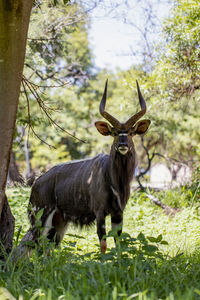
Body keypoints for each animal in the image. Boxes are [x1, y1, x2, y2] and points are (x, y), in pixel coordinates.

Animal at [27, 80, 150, 253]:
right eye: (114, 133)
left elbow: (118, 242)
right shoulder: (99, 211)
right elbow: (103, 243)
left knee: (48, 248)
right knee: (37, 246)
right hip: (41, 217)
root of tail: (35, 184)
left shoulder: (118, 213)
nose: (123, 145)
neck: (113, 179)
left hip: (59, 222)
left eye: (131, 133)